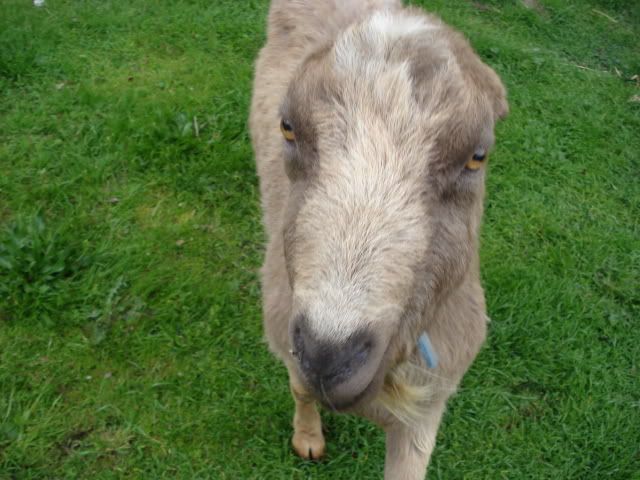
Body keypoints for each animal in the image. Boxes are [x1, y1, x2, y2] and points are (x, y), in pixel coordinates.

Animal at [249, 1, 508, 478]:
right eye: (288, 127)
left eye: (476, 157)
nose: (329, 357)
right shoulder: (284, 326)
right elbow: (300, 389)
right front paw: (308, 438)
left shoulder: (429, 404)